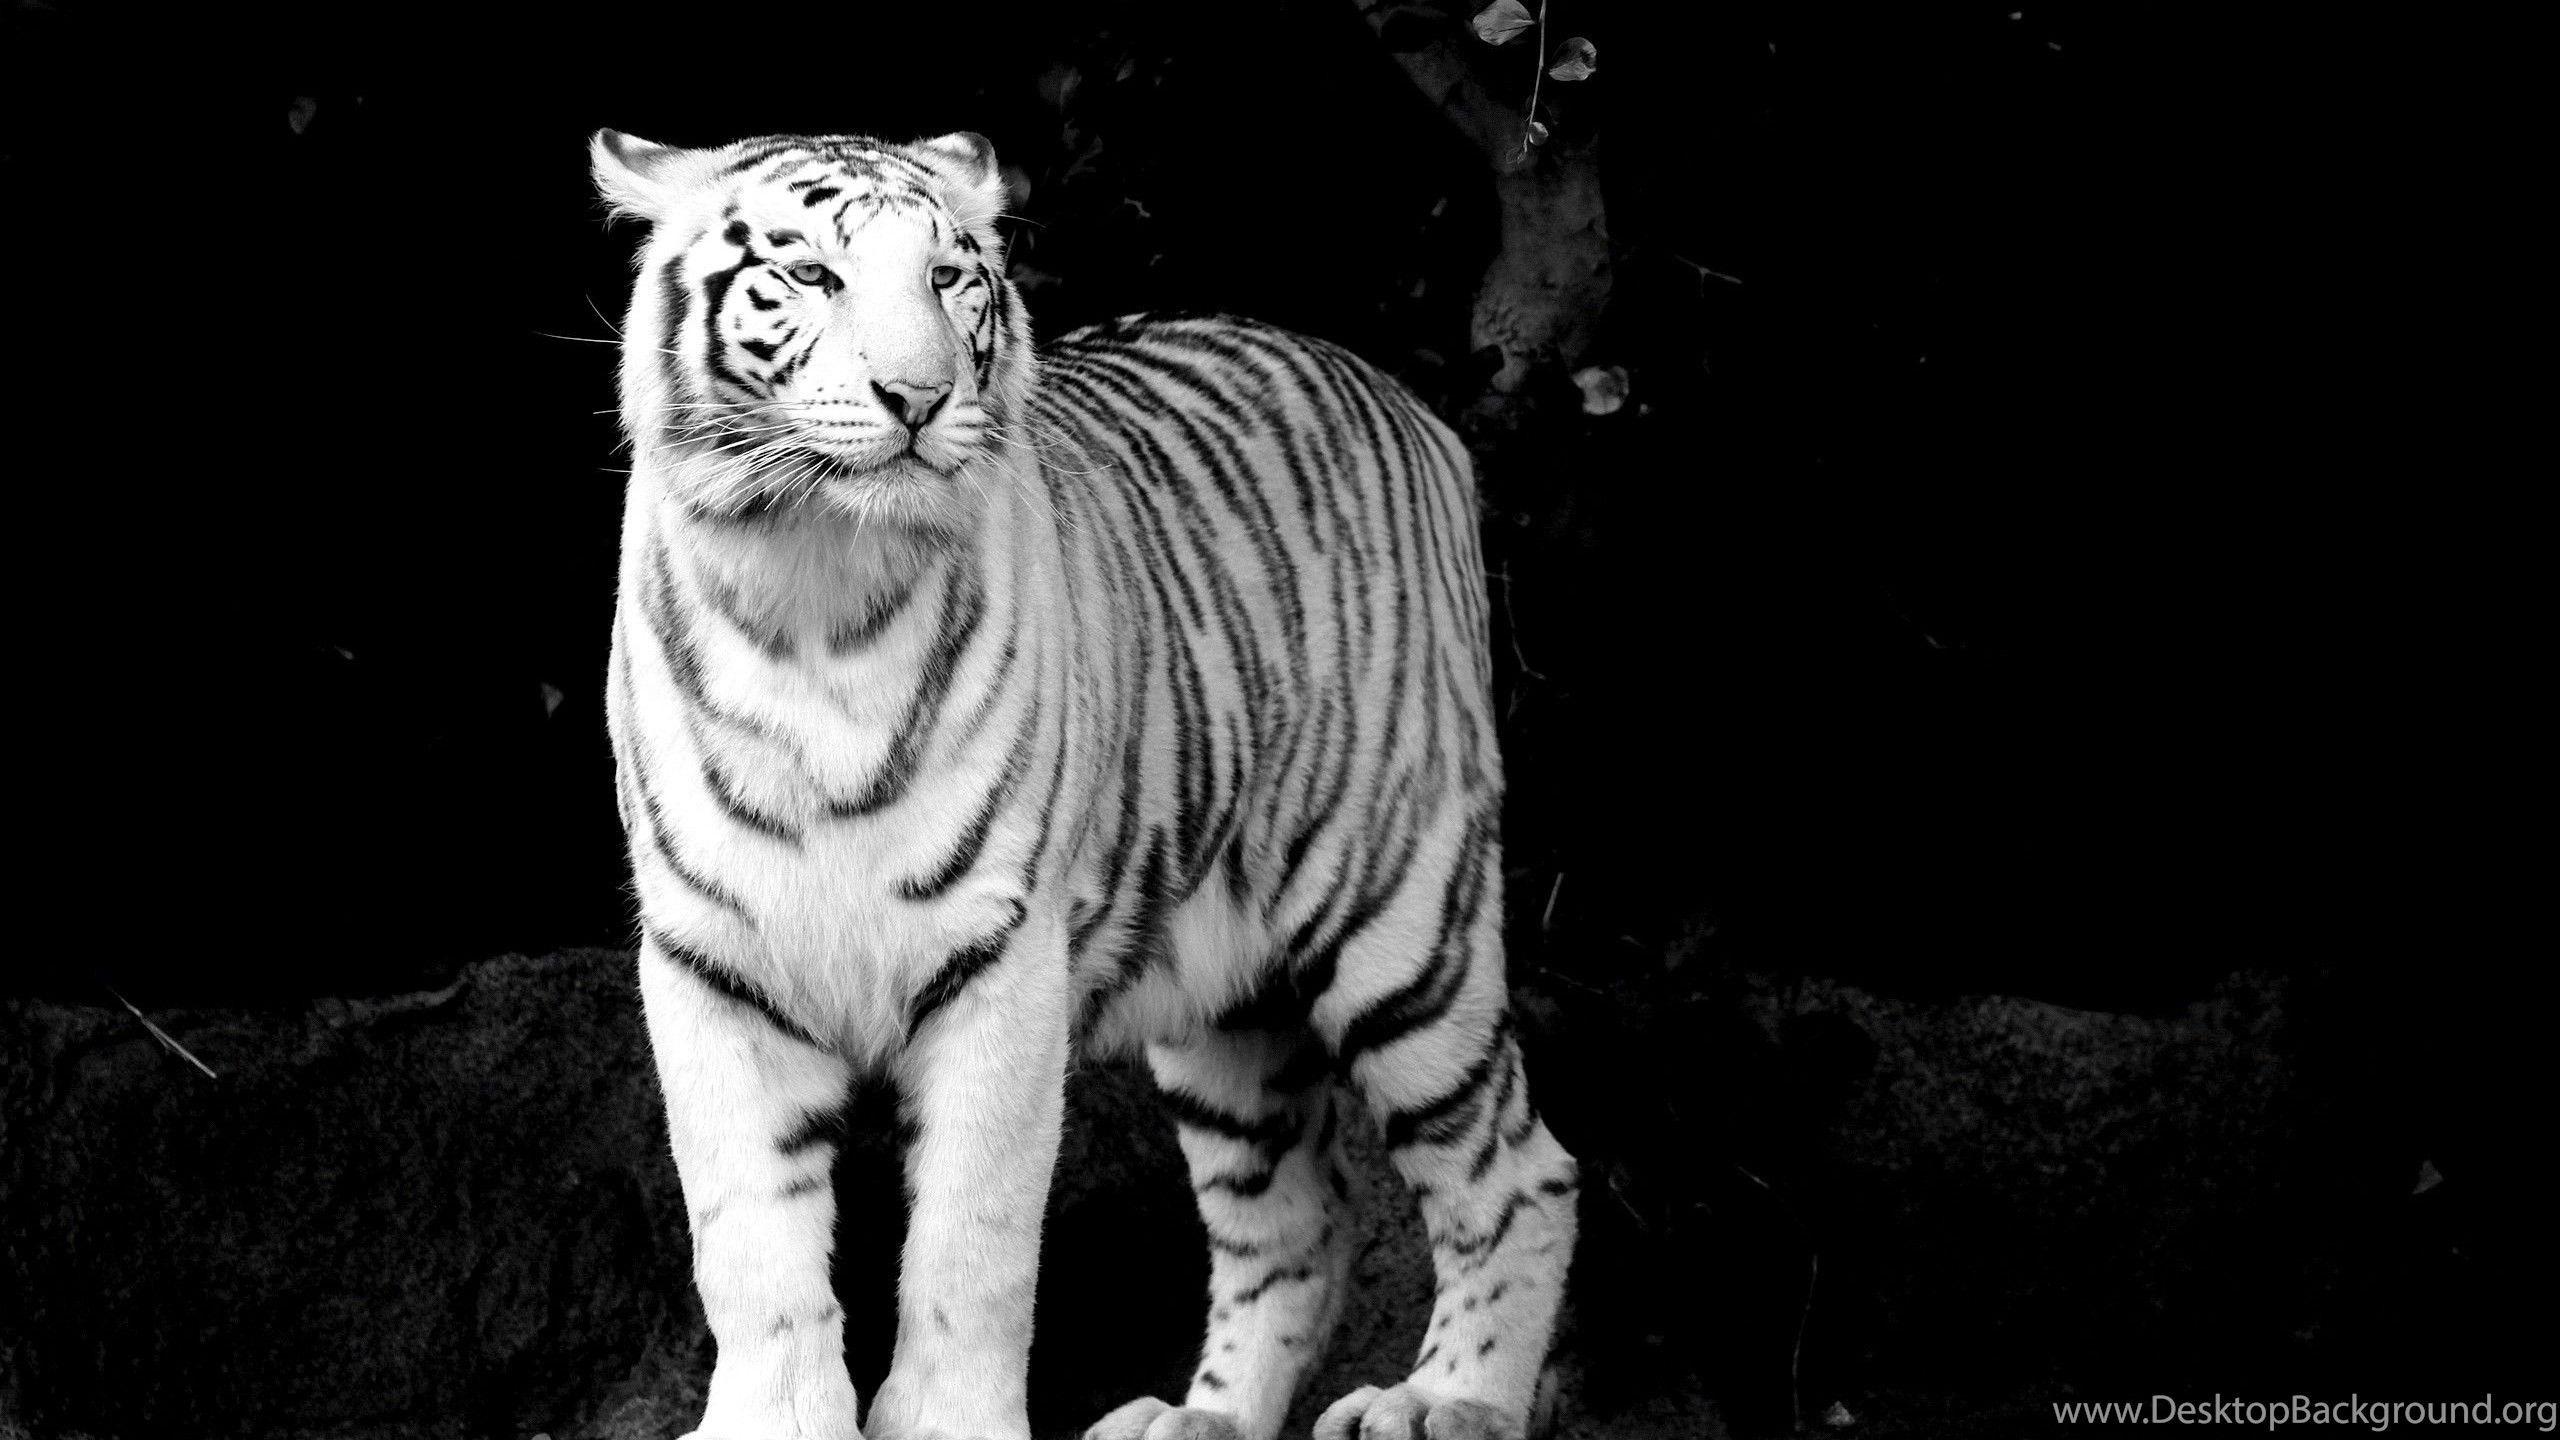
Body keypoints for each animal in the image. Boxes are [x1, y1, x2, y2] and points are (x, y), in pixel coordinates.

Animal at [590, 127, 1580, 1440]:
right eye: (809, 275)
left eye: (949, 279)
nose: (919, 398)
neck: (815, 592)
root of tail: (1408, 403)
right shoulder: (711, 962)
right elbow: (748, 1241)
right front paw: (772, 1422)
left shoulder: (998, 953)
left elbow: (971, 1236)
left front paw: (945, 1424)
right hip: (1224, 1006)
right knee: (1298, 1219)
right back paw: (1198, 1420)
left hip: (1401, 922)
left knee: (1519, 1171)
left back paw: (1451, 1401)